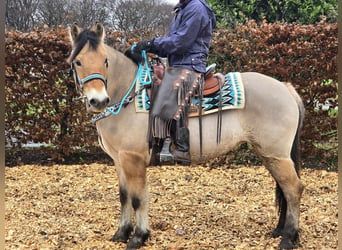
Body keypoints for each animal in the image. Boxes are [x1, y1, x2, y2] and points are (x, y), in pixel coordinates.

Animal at [66, 22, 304, 249]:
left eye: (105, 61)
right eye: (77, 62)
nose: (98, 101)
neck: (128, 95)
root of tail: (285, 87)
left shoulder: (133, 159)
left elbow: (138, 199)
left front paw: (139, 237)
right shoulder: (119, 160)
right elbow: (124, 196)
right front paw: (122, 233)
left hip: (276, 155)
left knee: (293, 189)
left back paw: (288, 238)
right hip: (270, 154)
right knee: (284, 188)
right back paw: (280, 231)